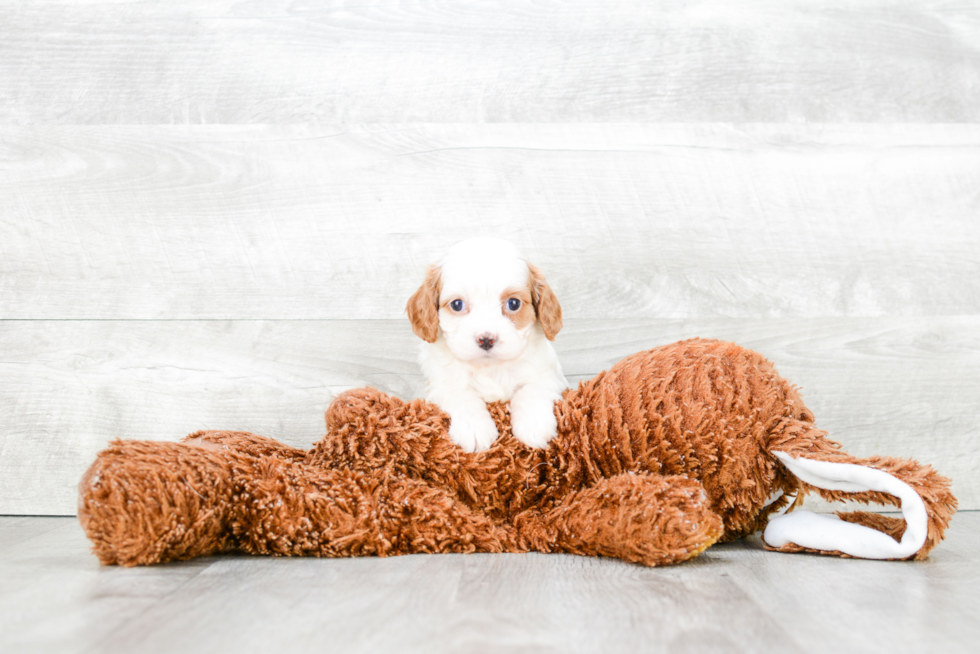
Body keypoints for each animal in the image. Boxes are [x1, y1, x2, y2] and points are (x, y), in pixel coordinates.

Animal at [406, 238, 572, 454]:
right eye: (457, 305)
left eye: (513, 303)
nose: (486, 339)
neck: (490, 368)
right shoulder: (440, 384)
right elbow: (461, 394)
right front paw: (475, 429)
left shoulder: (548, 375)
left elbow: (531, 389)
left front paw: (534, 426)